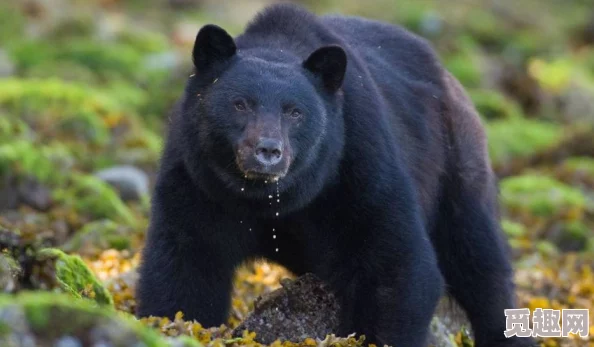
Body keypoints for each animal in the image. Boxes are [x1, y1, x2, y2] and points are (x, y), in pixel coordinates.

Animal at [138, 3, 532, 347]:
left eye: (295, 111)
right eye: (240, 104)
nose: (268, 151)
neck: (270, 199)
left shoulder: (359, 163)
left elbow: (397, 262)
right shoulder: (197, 181)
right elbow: (185, 264)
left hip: (455, 164)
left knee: (479, 259)